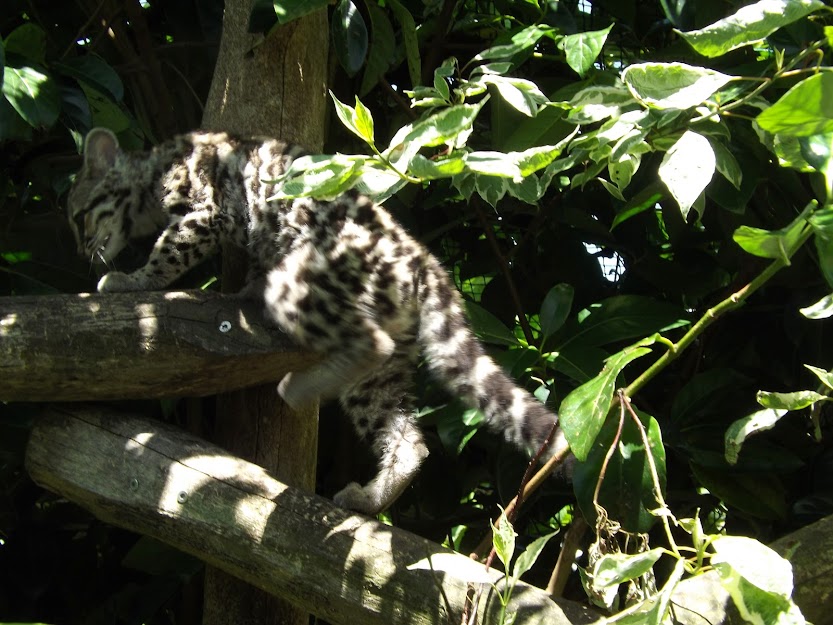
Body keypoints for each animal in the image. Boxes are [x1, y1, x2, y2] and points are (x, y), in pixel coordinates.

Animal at [68, 127, 568, 512]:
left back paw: (299, 388)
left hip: (307, 279)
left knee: (368, 343)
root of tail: (423, 260)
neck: (152, 167)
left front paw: (131, 280)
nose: (80, 250)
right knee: (408, 437)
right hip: (381, 372)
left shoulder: (206, 213)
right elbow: (252, 260)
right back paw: (371, 497)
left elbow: (168, 253)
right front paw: (243, 286)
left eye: (77, 215)